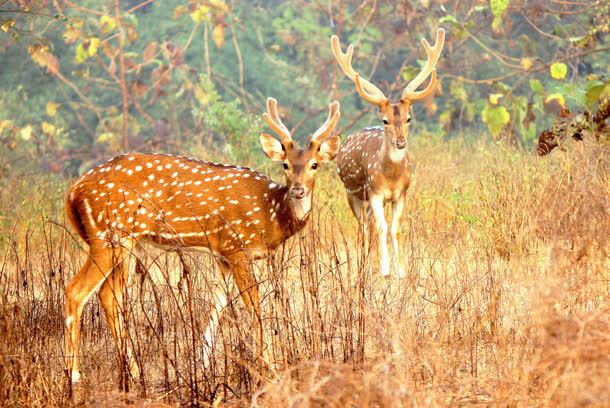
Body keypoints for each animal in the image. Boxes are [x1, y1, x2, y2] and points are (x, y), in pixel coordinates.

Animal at [66, 98, 342, 382]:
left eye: (314, 164)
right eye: (285, 165)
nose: (298, 191)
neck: (271, 216)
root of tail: (73, 191)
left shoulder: (223, 254)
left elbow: (217, 304)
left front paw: (203, 364)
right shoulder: (237, 246)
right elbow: (254, 307)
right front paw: (270, 367)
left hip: (128, 244)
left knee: (108, 296)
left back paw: (133, 371)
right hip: (107, 235)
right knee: (75, 291)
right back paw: (74, 373)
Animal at [330, 27, 444, 278]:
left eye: (409, 118)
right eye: (385, 120)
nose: (401, 142)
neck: (391, 177)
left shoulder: (401, 194)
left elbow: (395, 228)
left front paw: (401, 270)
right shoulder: (374, 192)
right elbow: (381, 228)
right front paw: (384, 268)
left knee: (370, 225)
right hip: (352, 193)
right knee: (365, 227)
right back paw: (366, 265)